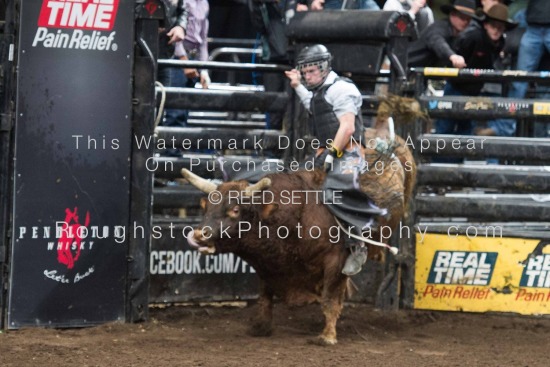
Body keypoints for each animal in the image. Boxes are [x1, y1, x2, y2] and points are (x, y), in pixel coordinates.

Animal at [183, 95, 424, 344]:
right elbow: (265, 295)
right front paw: (261, 326)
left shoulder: (335, 260)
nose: (199, 234)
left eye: (235, 210)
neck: (295, 216)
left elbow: (330, 298)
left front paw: (327, 335)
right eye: (207, 206)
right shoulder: (268, 263)